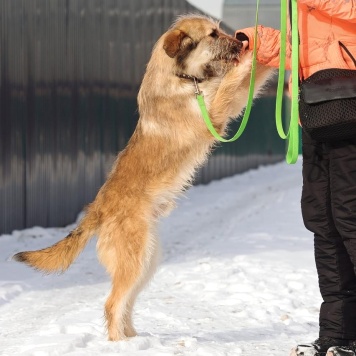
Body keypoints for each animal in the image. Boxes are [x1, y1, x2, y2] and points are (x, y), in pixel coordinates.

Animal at [12, 14, 272, 342]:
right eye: (213, 34)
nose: (241, 41)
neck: (183, 77)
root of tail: (97, 208)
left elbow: (245, 81)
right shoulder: (214, 114)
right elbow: (237, 79)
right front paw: (261, 51)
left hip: (146, 262)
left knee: (125, 303)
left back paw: (133, 338)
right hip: (135, 260)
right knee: (112, 303)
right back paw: (120, 343)